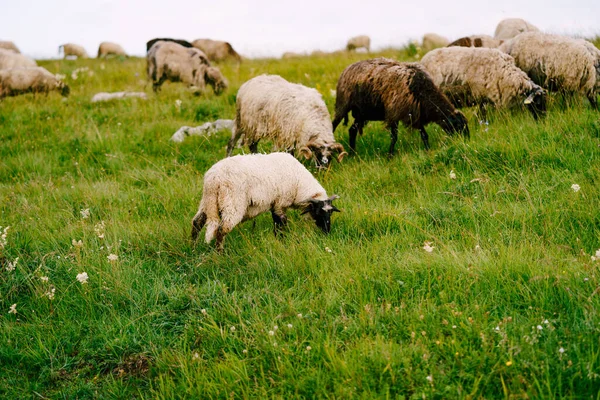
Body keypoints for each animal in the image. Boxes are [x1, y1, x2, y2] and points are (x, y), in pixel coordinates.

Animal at [193, 152, 342, 252]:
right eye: (318, 213)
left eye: (330, 214)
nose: (326, 231)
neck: (300, 184)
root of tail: (213, 179)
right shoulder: (281, 203)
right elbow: (281, 224)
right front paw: (283, 241)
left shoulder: (275, 204)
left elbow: (276, 224)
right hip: (232, 203)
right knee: (221, 230)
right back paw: (220, 253)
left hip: (208, 202)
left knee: (197, 222)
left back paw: (192, 247)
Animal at [332, 57, 468, 155]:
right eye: (458, 126)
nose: (465, 141)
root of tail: (347, 68)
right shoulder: (394, 113)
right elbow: (394, 137)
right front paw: (390, 155)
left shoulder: (415, 114)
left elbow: (424, 135)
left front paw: (428, 150)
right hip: (343, 105)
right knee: (333, 124)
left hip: (361, 113)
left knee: (352, 130)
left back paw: (353, 153)